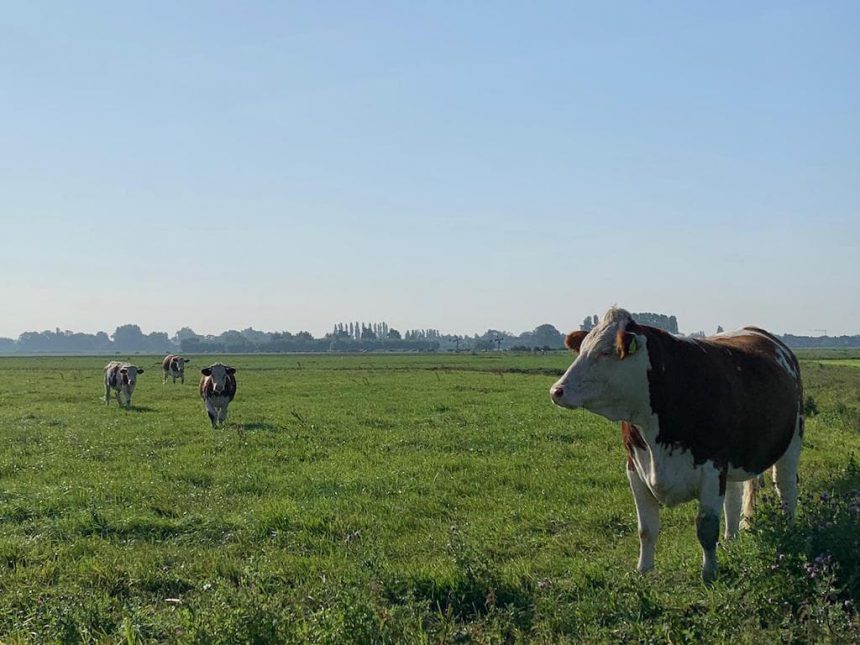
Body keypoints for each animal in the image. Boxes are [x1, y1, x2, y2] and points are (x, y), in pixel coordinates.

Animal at [548, 306, 804, 580]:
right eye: (582, 348)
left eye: (605, 352)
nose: (557, 391)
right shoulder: (634, 467)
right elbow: (646, 528)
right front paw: (644, 570)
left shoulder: (713, 468)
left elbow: (706, 528)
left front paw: (709, 573)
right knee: (734, 497)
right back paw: (731, 538)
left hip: (791, 443)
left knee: (786, 488)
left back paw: (789, 531)